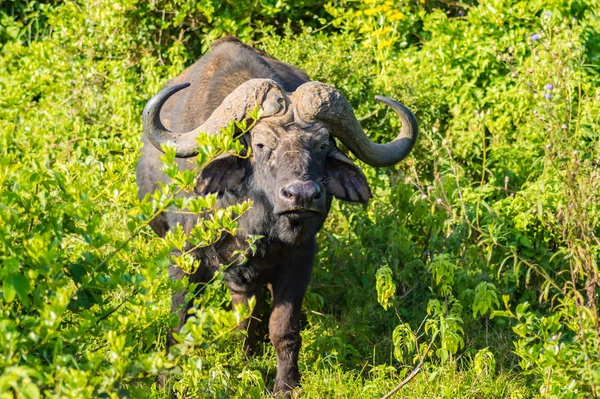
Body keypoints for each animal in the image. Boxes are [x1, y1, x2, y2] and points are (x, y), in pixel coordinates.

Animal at [136, 36, 418, 394]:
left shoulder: (300, 258)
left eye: (323, 145)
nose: (301, 194)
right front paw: (165, 382)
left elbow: (282, 327)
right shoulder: (185, 258)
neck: (249, 217)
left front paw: (286, 384)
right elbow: (179, 325)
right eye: (260, 144)